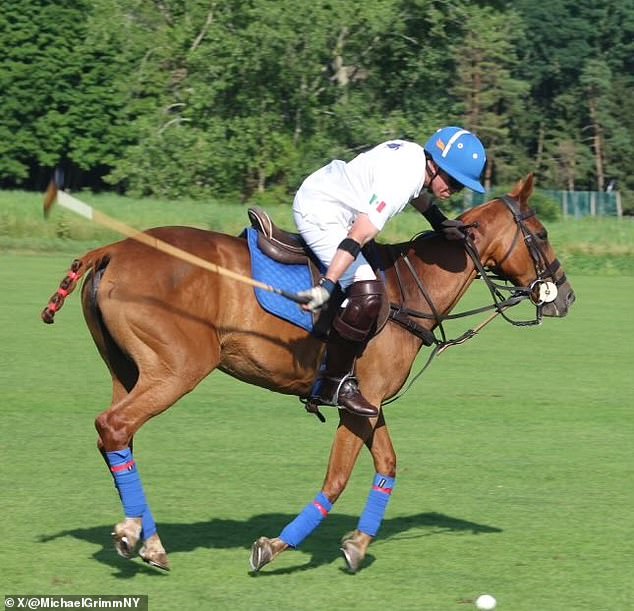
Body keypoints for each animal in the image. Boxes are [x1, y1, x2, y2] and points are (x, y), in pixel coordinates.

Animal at [39, 173, 572, 572]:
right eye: (543, 235)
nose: (565, 296)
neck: (409, 289)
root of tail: (110, 249)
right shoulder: (360, 403)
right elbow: (336, 479)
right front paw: (274, 547)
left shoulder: (368, 401)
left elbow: (388, 464)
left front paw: (357, 544)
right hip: (177, 368)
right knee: (114, 427)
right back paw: (136, 535)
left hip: (128, 370)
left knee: (117, 436)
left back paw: (148, 540)